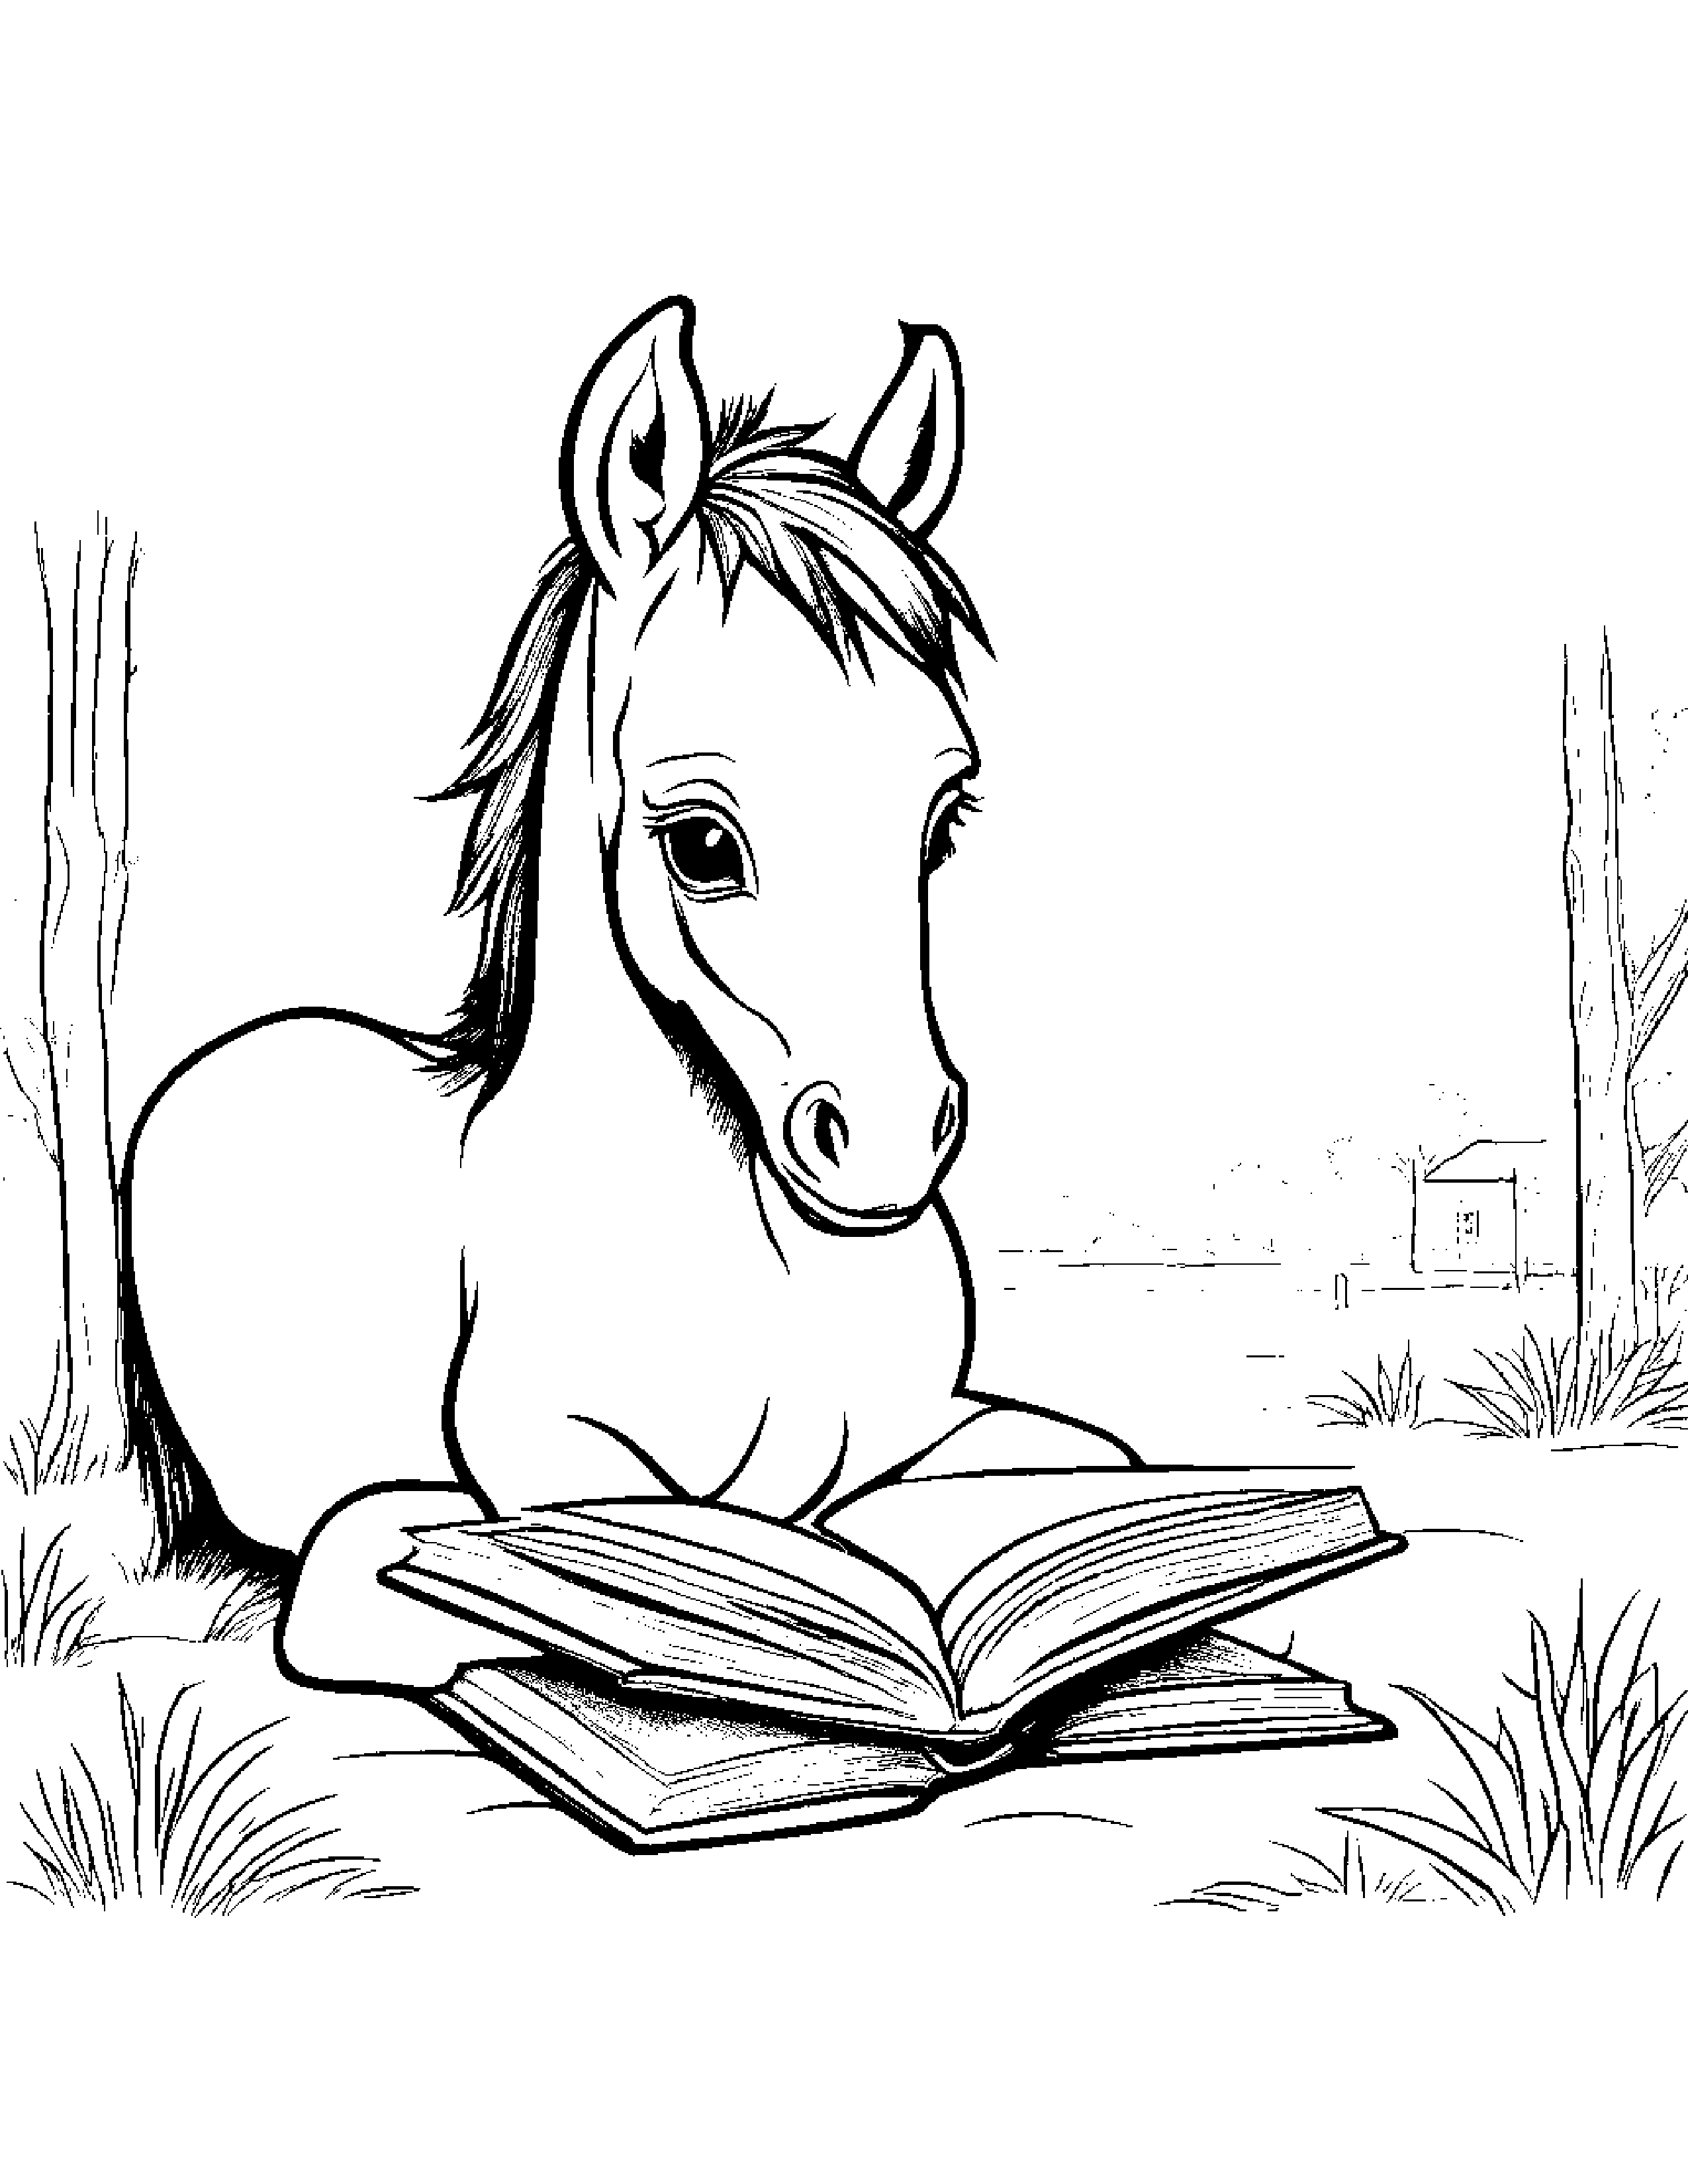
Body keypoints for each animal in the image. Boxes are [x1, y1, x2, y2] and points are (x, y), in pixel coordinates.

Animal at [122, 297, 1136, 1692]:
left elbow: (1096, 1464)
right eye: (701, 841)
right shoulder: (546, 1486)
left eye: (942, 814)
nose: (884, 1145)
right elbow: (470, 1569)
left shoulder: (928, 1432)